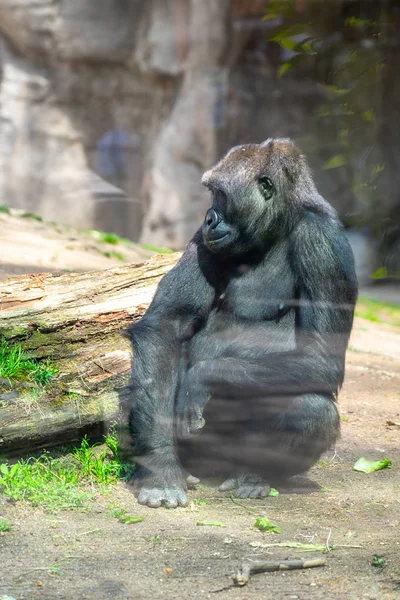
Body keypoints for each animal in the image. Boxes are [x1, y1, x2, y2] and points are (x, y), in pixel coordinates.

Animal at [126, 139, 358, 506]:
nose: (208, 217)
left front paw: (203, 376)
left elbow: (322, 357)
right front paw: (160, 465)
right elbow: (165, 325)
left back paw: (255, 475)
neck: (282, 221)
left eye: (220, 194)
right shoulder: (203, 239)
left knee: (312, 410)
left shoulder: (322, 242)